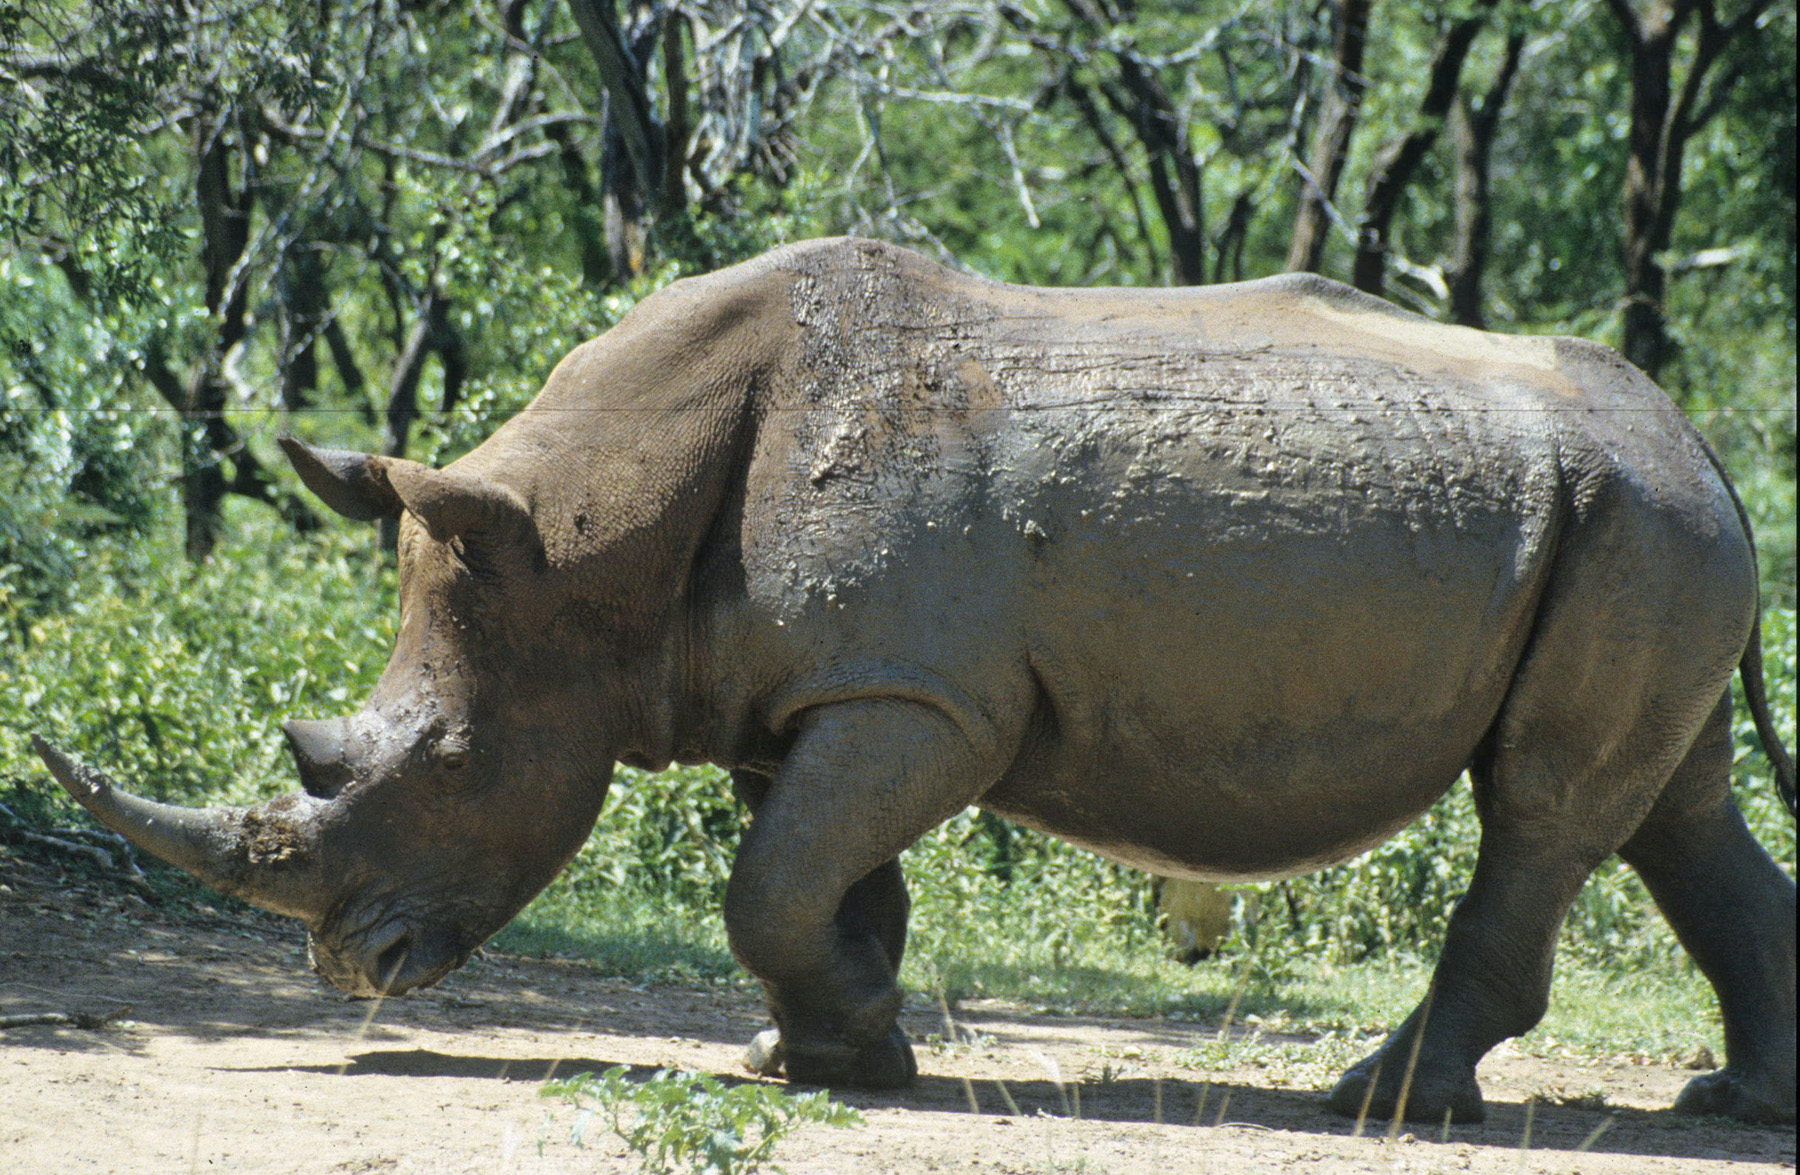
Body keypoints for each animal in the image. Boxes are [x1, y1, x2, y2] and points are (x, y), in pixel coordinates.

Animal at [36, 238, 1796, 1124]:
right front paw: (833, 1053)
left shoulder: (925, 696)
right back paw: (1732, 1104)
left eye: (455, 763)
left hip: (1634, 523)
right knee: (1671, 803)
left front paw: (851, 1046)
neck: (585, 534)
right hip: (1643, 523)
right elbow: (820, 877)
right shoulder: (814, 689)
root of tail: (1701, 436)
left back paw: (1387, 1103)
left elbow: (769, 880)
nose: (352, 967)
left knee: (1547, 806)